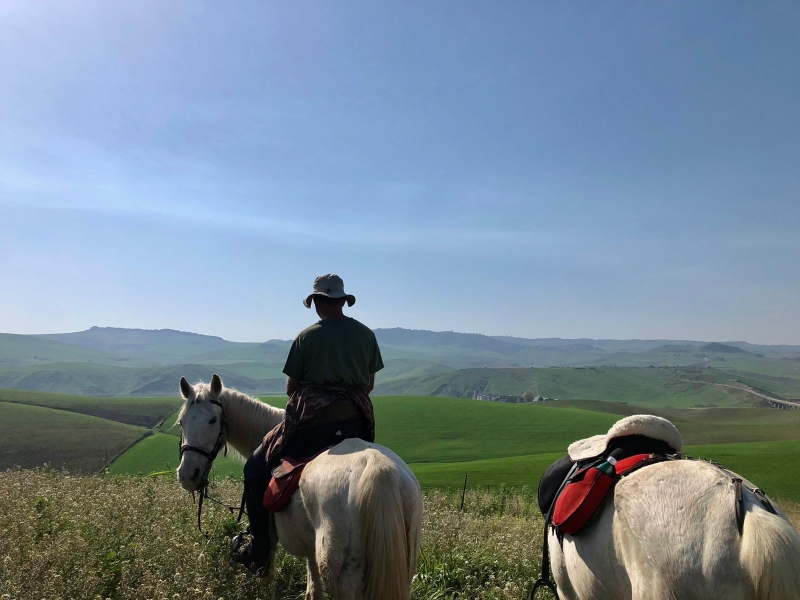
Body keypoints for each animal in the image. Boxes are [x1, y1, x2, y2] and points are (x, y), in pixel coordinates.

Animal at [176, 376, 424, 600]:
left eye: (213, 420)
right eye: (182, 422)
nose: (188, 475)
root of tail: (378, 469)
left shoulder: (271, 541)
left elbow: (269, 578)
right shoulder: (311, 551)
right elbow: (313, 591)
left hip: (344, 581)